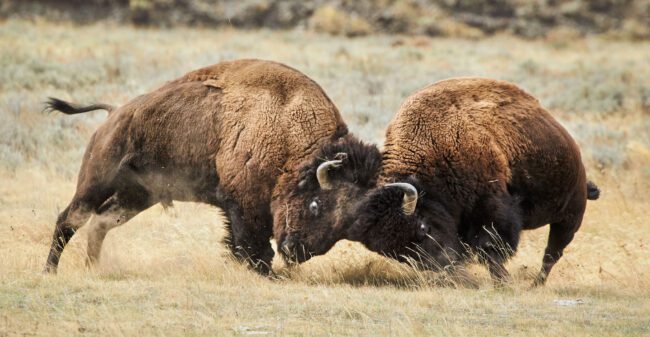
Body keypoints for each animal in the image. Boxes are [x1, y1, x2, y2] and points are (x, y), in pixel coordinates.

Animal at [42, 59, 352, 274]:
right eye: (315, 204)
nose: (298, 252)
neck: (290, 134)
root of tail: (114, 112)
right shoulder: (242, 205)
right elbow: (251, 245)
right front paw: (262, 272)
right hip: (97, 182)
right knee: (69, 220)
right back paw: (50, 271)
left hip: (138, 195)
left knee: (100, 222)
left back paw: (92, 267)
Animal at [276, 78, 600, 284]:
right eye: (401, 253)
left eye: (423, 228)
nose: (446, 267)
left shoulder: (493, 207)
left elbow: (492, 249)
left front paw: (502, 282)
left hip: (570, 215)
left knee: (552, 253)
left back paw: (536, 283)